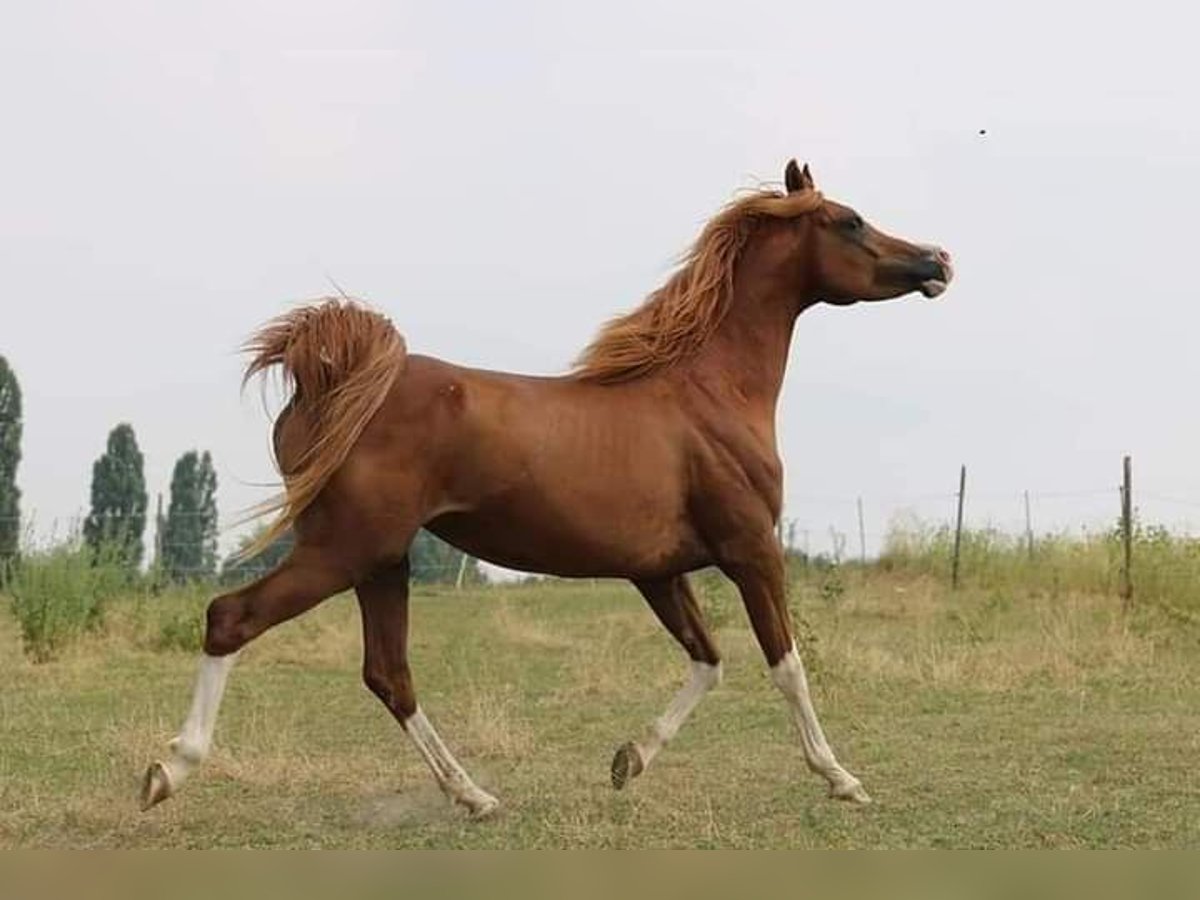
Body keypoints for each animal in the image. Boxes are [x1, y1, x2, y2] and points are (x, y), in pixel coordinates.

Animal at [138, 160, 955, 816]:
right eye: (848, 220)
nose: (938, 260)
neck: (709, 393)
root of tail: (331, 382)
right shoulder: (751, 550)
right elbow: (785, 667)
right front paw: (842, 778)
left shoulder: (658, 571)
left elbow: (708, 661)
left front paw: (629, 760)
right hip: (344, 549)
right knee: (231, 618)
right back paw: (168, 772)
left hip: (382, 561)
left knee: (389, 675)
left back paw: (473, 796)